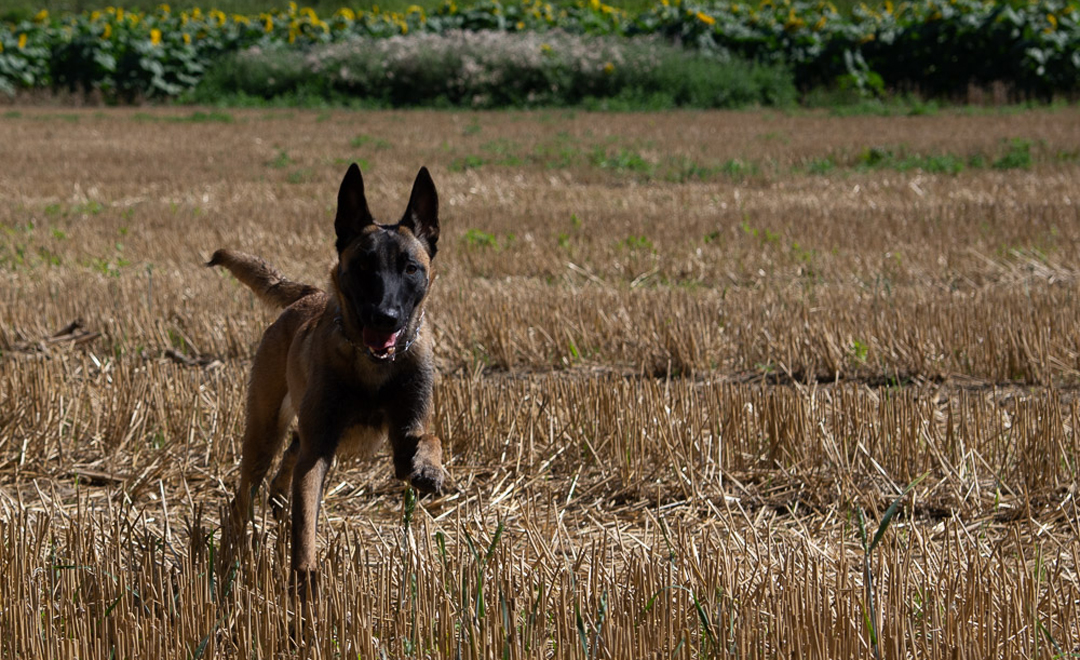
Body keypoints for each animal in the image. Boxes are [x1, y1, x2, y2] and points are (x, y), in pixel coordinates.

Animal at [208, 164, 444, 591]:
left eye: (411, 268)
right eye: (364, 266)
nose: (385, 318)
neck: (372, 366)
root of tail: (309, 296)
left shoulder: (405, 434)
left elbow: (428, 439)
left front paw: (431, 469)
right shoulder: (318, 449)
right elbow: (305, 525)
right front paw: (305, 580)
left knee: (289, 458)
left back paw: (277, 498)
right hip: (264, 430)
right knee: (246, 494)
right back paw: (232, 554)